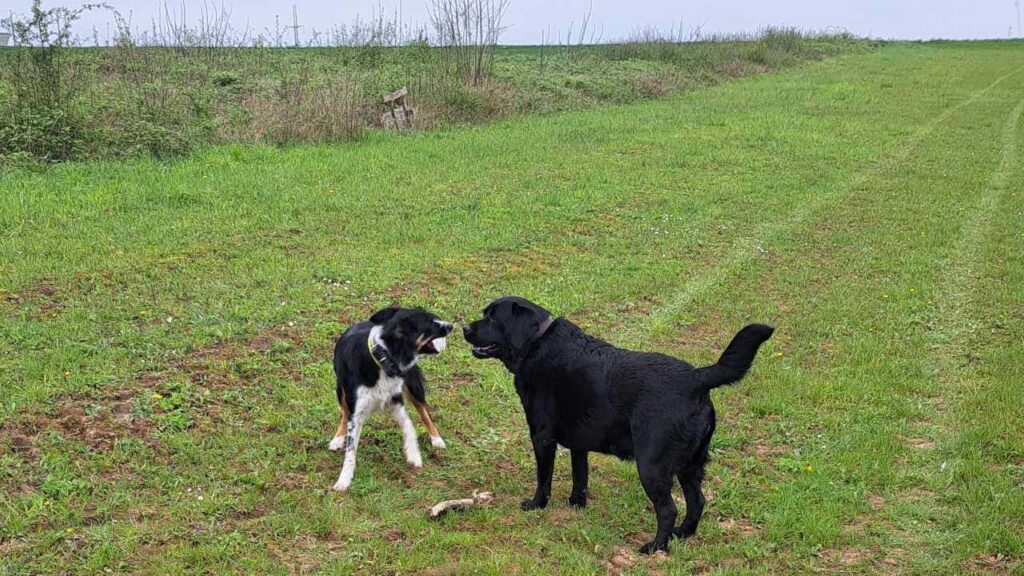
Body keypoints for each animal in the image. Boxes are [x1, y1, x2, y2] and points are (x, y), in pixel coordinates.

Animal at [331, 305, 452, 487]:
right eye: (430, 323)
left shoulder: (396, 401)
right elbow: (350, 450)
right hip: (341, 390)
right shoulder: (356, 411)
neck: (382, 358)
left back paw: (436, 439)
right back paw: (338, 438)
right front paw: (344, 480)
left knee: (425, 412)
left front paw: (413, 454)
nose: (451, 325)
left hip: (413, 386)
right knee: (343, 413)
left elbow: (409, 426)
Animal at [460, 295, 770, 553]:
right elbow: (580, 477)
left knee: (668, 509)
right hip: (690, 464)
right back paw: (681, 535)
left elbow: (544, 478)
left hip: (652, 465)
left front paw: (537, 504)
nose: (463, 328)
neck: (535, 343)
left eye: (493, 318)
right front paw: (576, 505)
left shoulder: (542, 436)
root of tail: (698, 378)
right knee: (697, 502)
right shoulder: (579, 444)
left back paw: (656, 547)